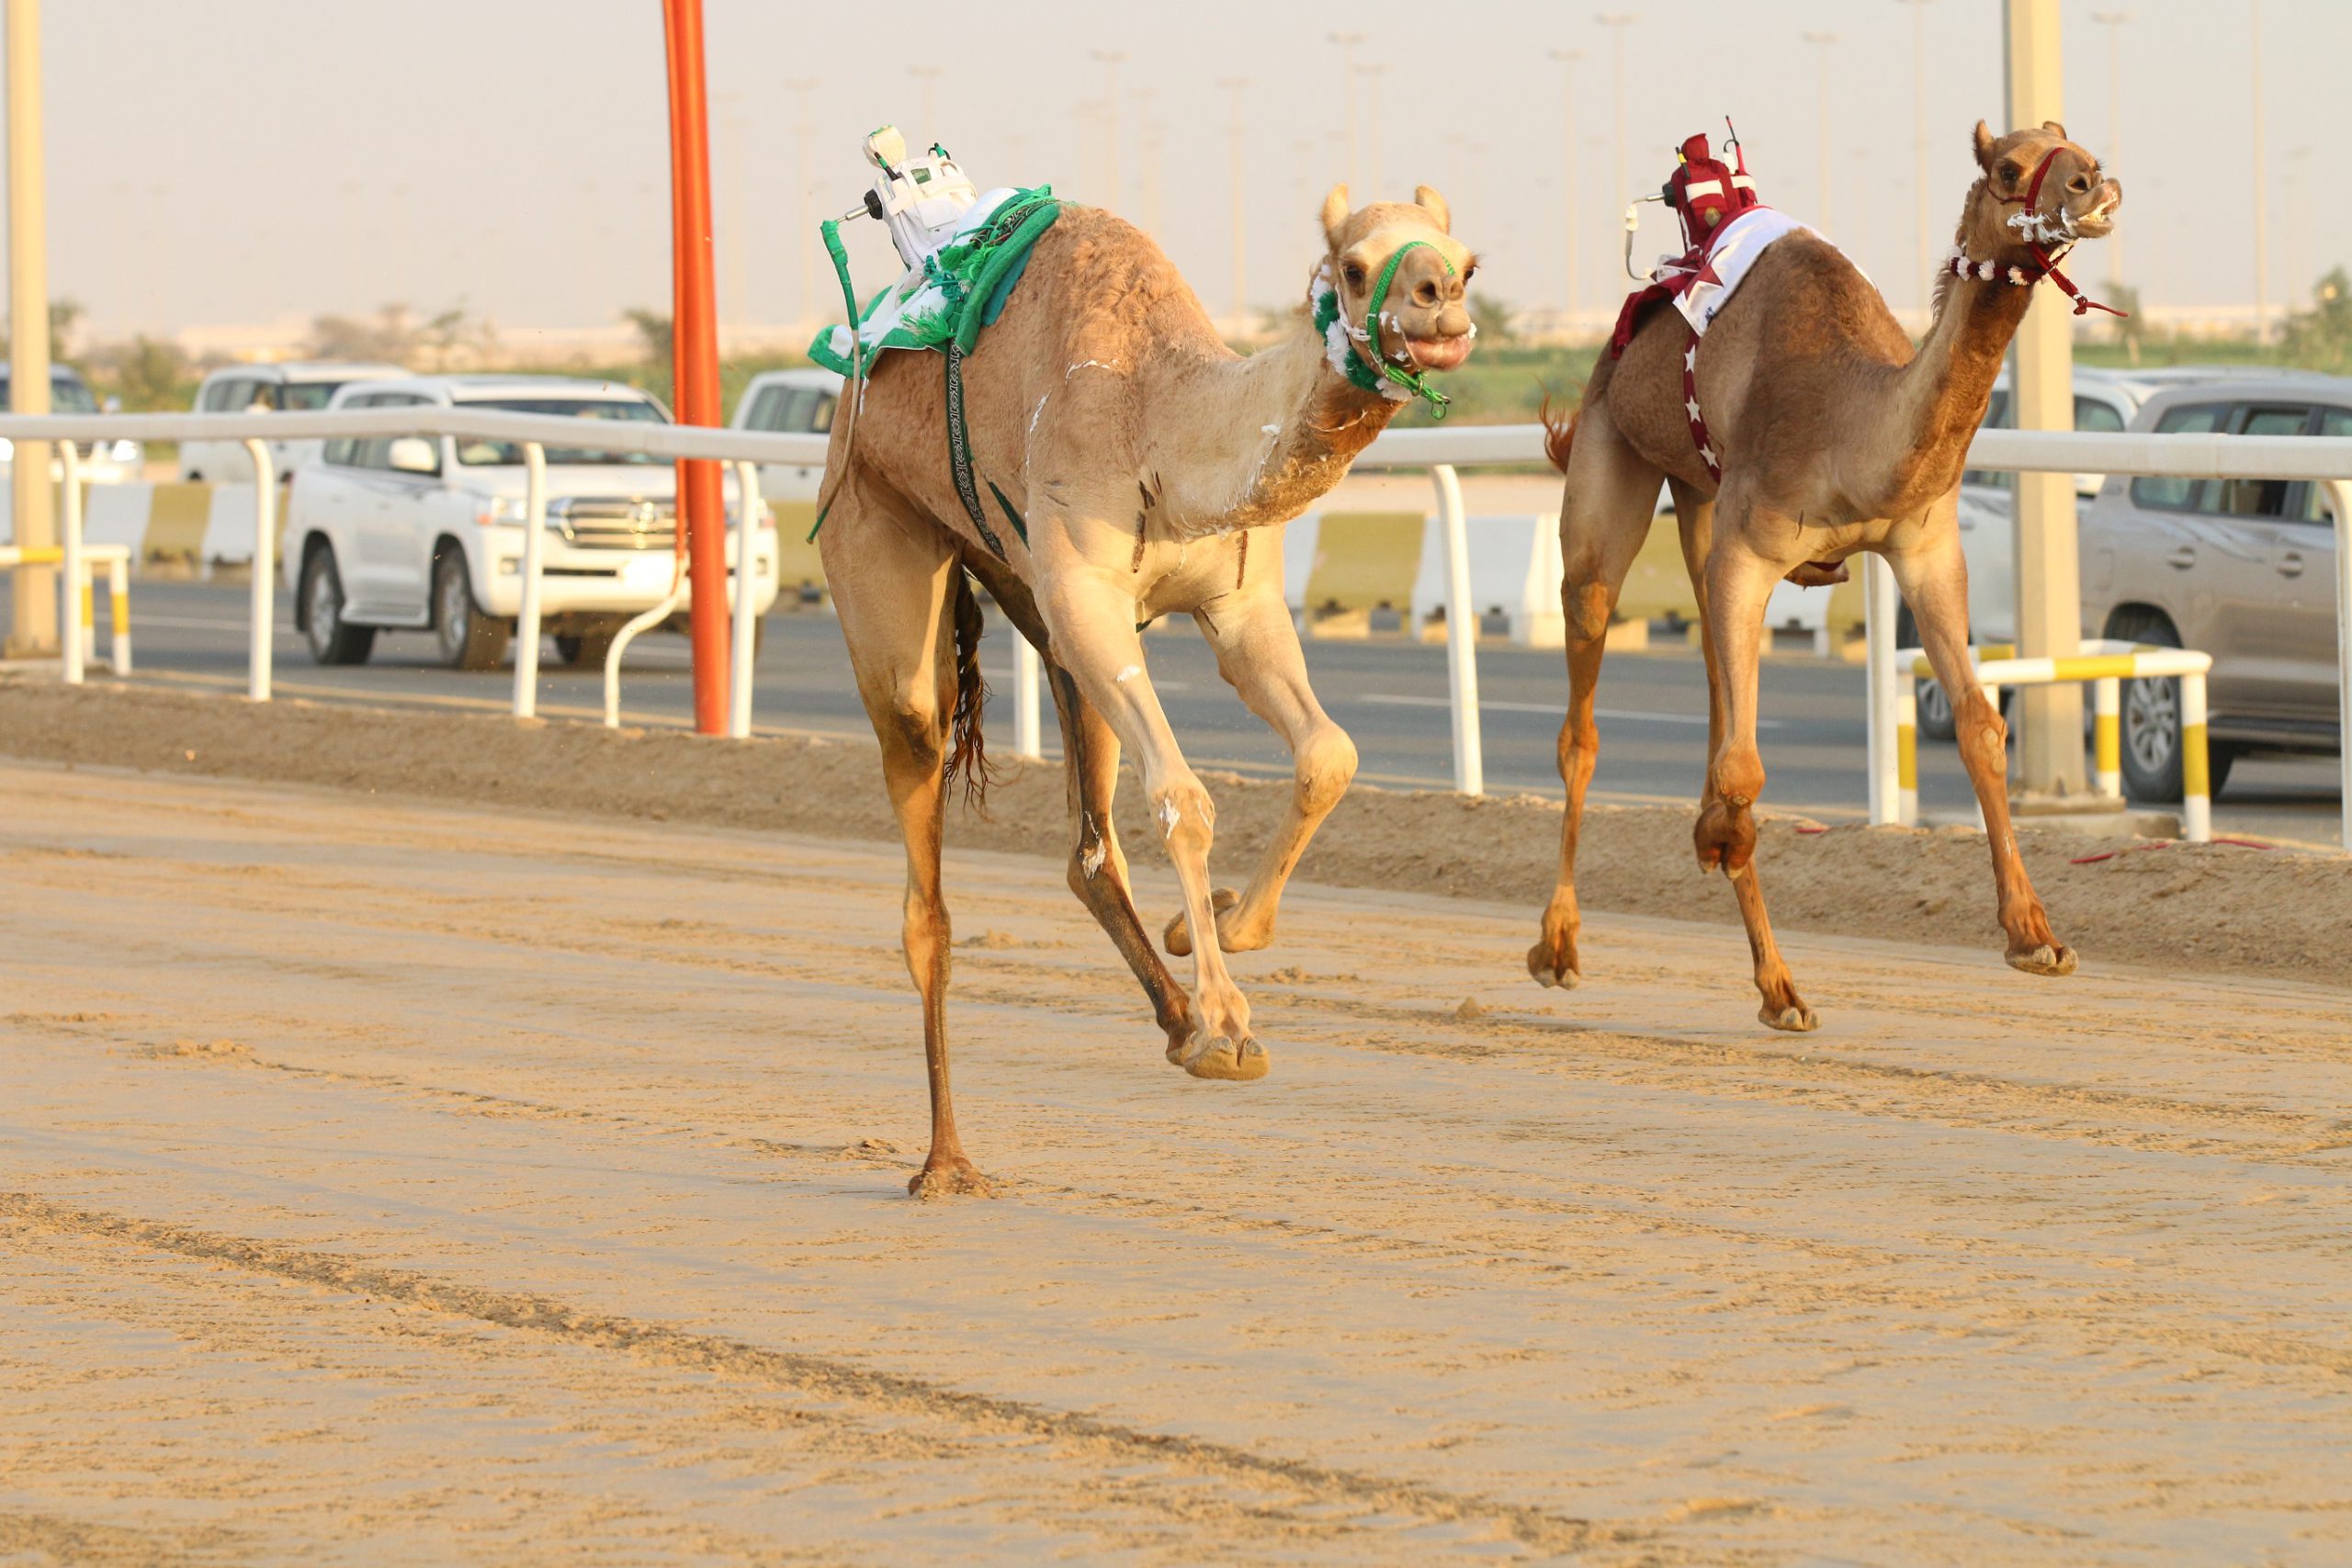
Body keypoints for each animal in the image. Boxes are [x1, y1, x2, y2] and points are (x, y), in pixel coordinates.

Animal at [813, 184, 1467, 1194]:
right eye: (1355, 268)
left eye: (1467, 260)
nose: (1441, 304)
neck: (1158, 417)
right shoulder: (1089, 596)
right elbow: (1185, 798)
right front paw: (1230, 1028)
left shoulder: (1236, 604)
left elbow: (1330, 752)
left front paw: (1224, 931)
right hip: (876, 534)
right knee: (924, 837)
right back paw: (946, 1162)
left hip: (1040, 620)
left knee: (1089, 849)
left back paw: (1172, 1020)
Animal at [1533, 119, 2126, 1029]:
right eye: (2009, 168)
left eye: (2077, 145)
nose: (2094, 185)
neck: (1852, 424)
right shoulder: (1752, 546)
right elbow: (1745, 771)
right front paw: (1717, 839)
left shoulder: (1925, 549)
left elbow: (1979, 724)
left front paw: (2037, 937)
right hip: (1613, 458)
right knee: (1587, 712)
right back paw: (1563, 948)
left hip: (1698, 502)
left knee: (1716, 694)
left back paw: (1776, 982)